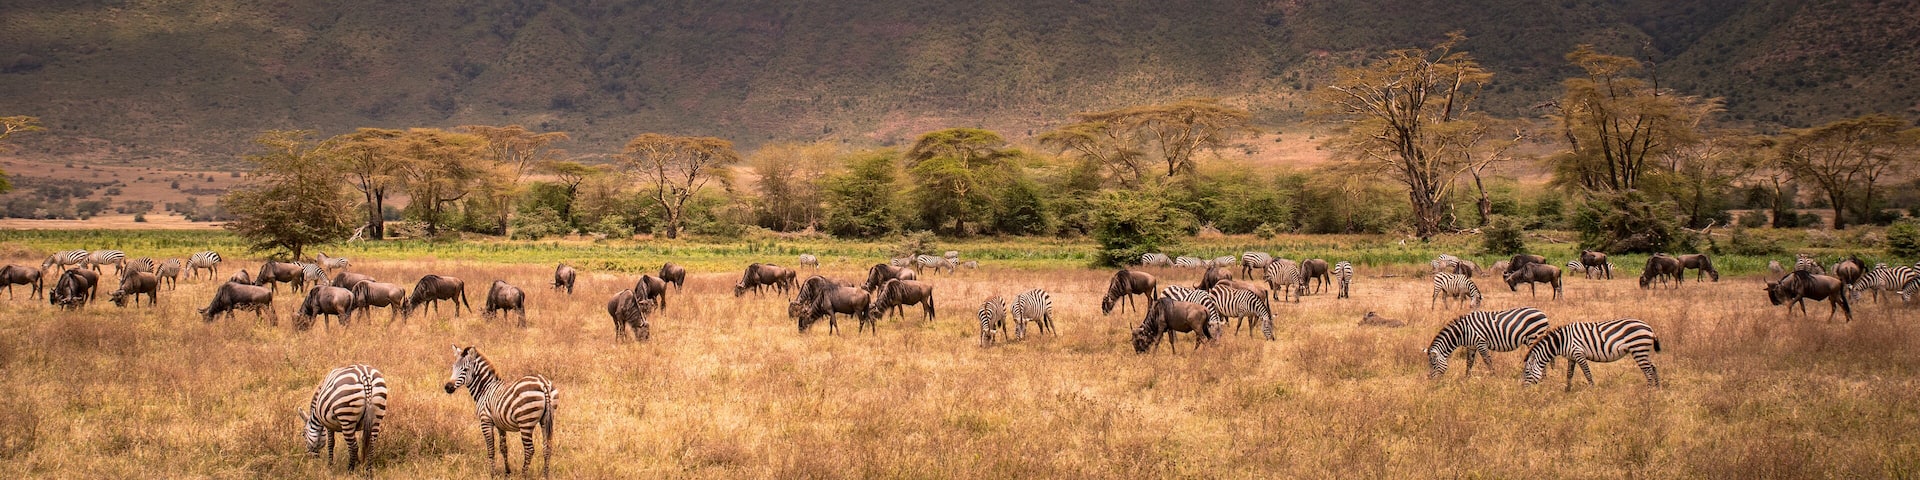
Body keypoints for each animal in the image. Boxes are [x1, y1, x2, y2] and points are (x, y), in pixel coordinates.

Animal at [444, 345, 557, 476]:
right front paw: (507, 471)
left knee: (529, 450)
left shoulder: (485, 421)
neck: (485, 389)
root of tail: (543, 383)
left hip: (525, 421)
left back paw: (523, 475)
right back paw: (545, 474)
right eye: (453, 367)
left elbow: (491, 449)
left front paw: (492, 473)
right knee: (547, 447)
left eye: (465, 369)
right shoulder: (500, 424)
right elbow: (503, 448)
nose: (447, 387)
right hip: (546, 419)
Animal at [1521, 319, 1662, 391]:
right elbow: (1569, 374)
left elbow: (1587, 373)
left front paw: (1592, 390)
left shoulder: (1579, 353)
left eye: (1527, 373)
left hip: (1638, 349)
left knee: (1648, 370)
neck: (1561, 341)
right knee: (1653, 367)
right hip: (1642, 351)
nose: (1523, 391)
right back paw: (1657, 389)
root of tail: (1649, 328)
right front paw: (1567, 390)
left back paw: (1648, 391)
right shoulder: (1571, 357)